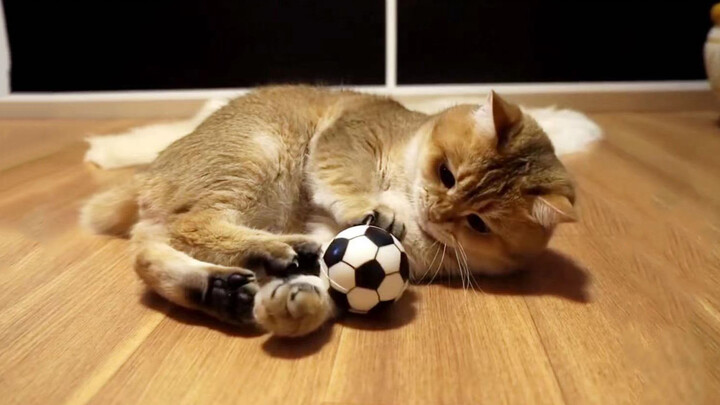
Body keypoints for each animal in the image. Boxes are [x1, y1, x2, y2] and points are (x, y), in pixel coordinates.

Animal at [80, 83, 572, 336]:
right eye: (446, 174)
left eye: (478, 224)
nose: (436, 213)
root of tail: (151, 170)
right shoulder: (348, 140)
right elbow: (346, 180)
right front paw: (371, 207)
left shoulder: (339, 243)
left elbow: (327, 277)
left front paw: (295, 303)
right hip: (256, 158)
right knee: (190, 225)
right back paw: (272, 254)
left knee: (147, 252)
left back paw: (221, 290)